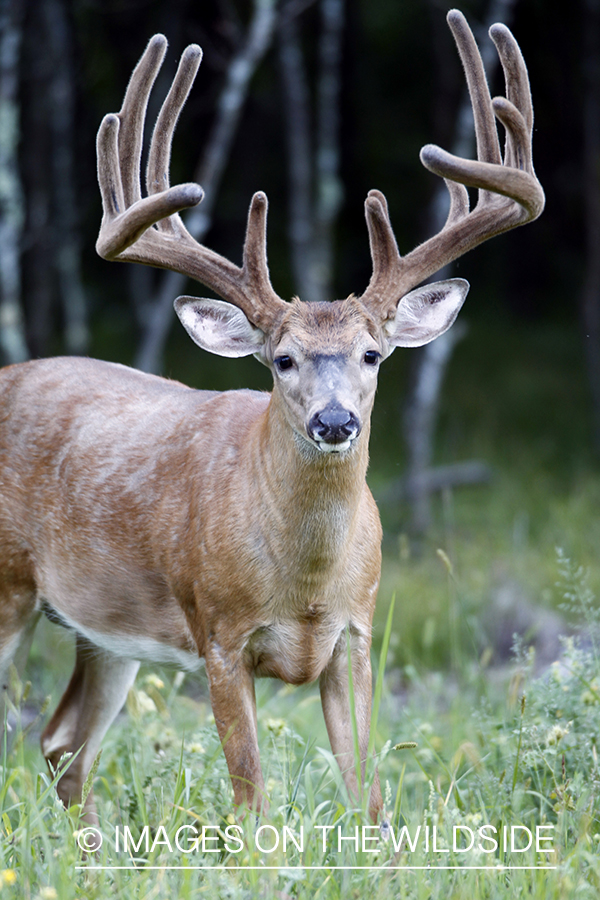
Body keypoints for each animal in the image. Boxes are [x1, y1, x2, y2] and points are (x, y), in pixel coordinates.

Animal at [0, 10, 544, 832]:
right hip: (9, 587)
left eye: (373, 354)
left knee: (63, 741)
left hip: (105, 630)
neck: (306, 580)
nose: (335, 420)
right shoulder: (221, 637)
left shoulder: (356, 634)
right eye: (281, 360)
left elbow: (367, 793)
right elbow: (252, 798)